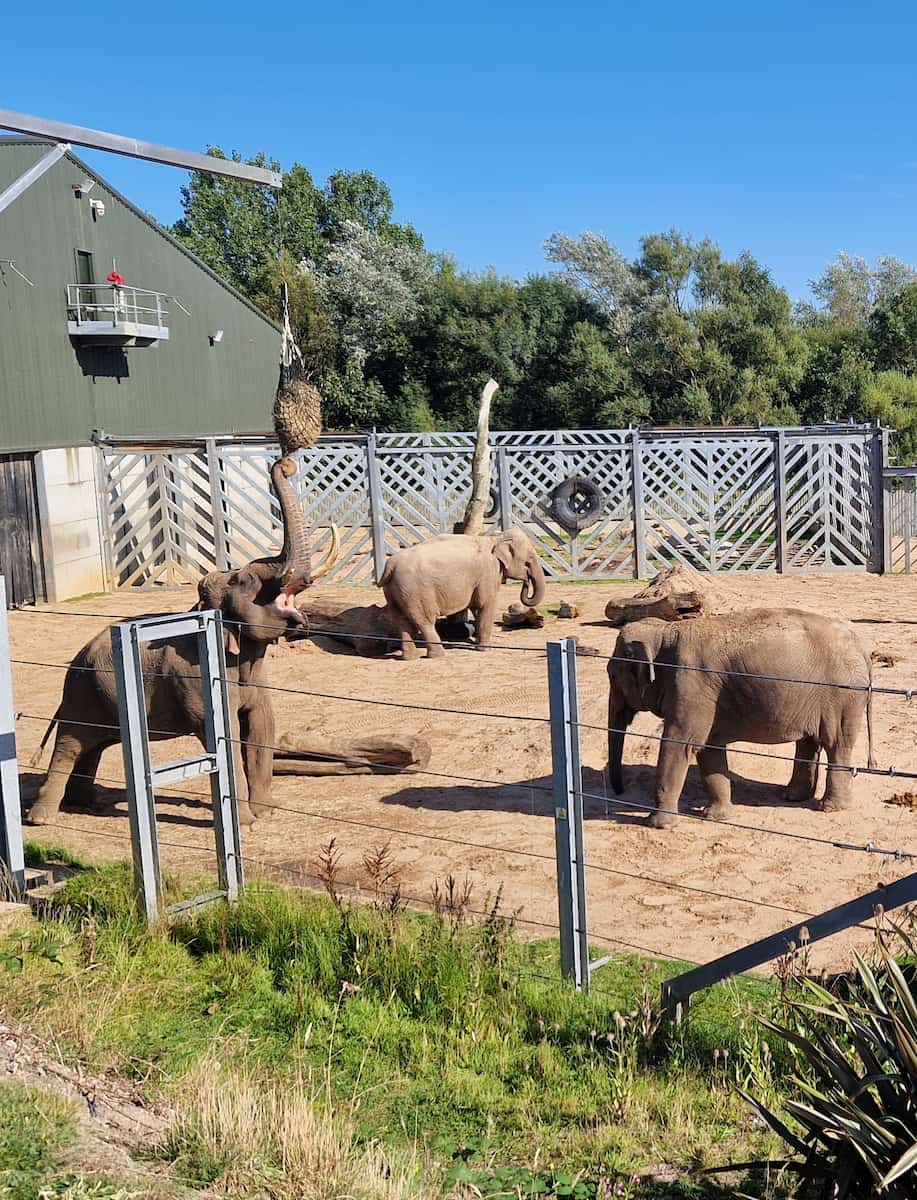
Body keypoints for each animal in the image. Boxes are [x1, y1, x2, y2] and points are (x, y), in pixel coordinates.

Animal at [27, 453, 340, 830]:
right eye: (245, 581)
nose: (286, 464)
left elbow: (262, 727)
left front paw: (267, 812)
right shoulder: (194, 676)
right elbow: (224, 734)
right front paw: (248, 823)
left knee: (94, 746)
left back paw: (86, 806)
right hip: (82, 693)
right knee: (71, 745)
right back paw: (42, 820)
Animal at [376, 530, 544, 662]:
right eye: (529, 559)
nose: (526, 581)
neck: (495, 538)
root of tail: (390, 565)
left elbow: (477, 609)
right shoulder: (488, 571)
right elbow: (485, 605)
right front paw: (485, 649)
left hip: (395, 590)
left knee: (401, 621)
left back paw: (410, 658)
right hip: (416, 591)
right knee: (425, 621)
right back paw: (438, 655)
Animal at [609, 614, 873, 830]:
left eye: (612, 675)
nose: (620, 791)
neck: (665, 630)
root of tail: (862, 646)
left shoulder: (690, 685)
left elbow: (680, 745)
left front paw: (657, 824)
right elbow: (708, 749)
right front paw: (716, 816)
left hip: (842, 696)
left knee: (836, 745)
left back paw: (829, 807)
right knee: (809, 742)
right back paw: (792, 796)